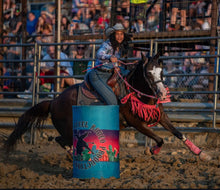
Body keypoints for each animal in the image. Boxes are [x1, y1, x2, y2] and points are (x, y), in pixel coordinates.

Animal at [4, 52, 211, 162]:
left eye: (161, 71)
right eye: (148, 73)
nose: (161, 93)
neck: (133, 91)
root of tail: (53, 102)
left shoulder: (160, 115)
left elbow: (178, 133)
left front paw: (201, 153)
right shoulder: (136, 122)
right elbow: (159, 139)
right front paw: (151, 150)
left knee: (62, 140)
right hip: (69, 129)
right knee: (61, 139)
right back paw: (74, 155)